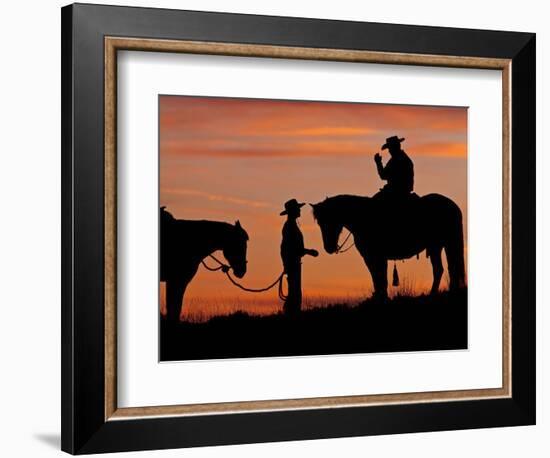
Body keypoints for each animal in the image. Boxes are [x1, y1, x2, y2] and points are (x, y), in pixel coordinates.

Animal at [310, 194, 466, 298]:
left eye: (330, 220)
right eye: (319, 223)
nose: (329, 248)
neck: (363, 217)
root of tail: (453, 206)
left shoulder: (375, 256)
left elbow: (380, 277)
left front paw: (381, 298)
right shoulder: (371, 257)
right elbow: (377, 277)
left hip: (439, 245)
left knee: (442, 269)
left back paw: (434, 293)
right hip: (441, 246)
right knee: (448, 268)